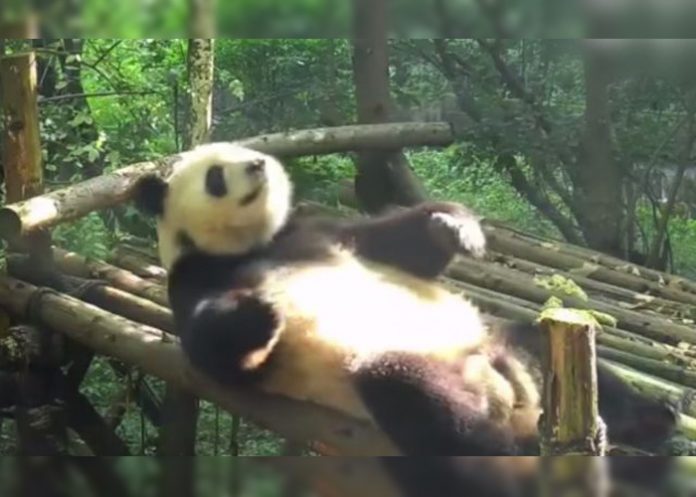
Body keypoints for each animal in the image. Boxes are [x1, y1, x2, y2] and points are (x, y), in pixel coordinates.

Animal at [133, 143, 679, 496]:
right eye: (214, 175)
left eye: (250, 152)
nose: (257, 164)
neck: (255, 244)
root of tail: (513, 400)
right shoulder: (197, 275)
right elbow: (213, 349)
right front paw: (258, 312)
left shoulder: (323, 234)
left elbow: (398, 243)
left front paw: (453, 227)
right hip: (406, 385)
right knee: (412, 394)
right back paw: (510, 452)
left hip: (503, 343)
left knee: (548, 348)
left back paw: (650, 418)